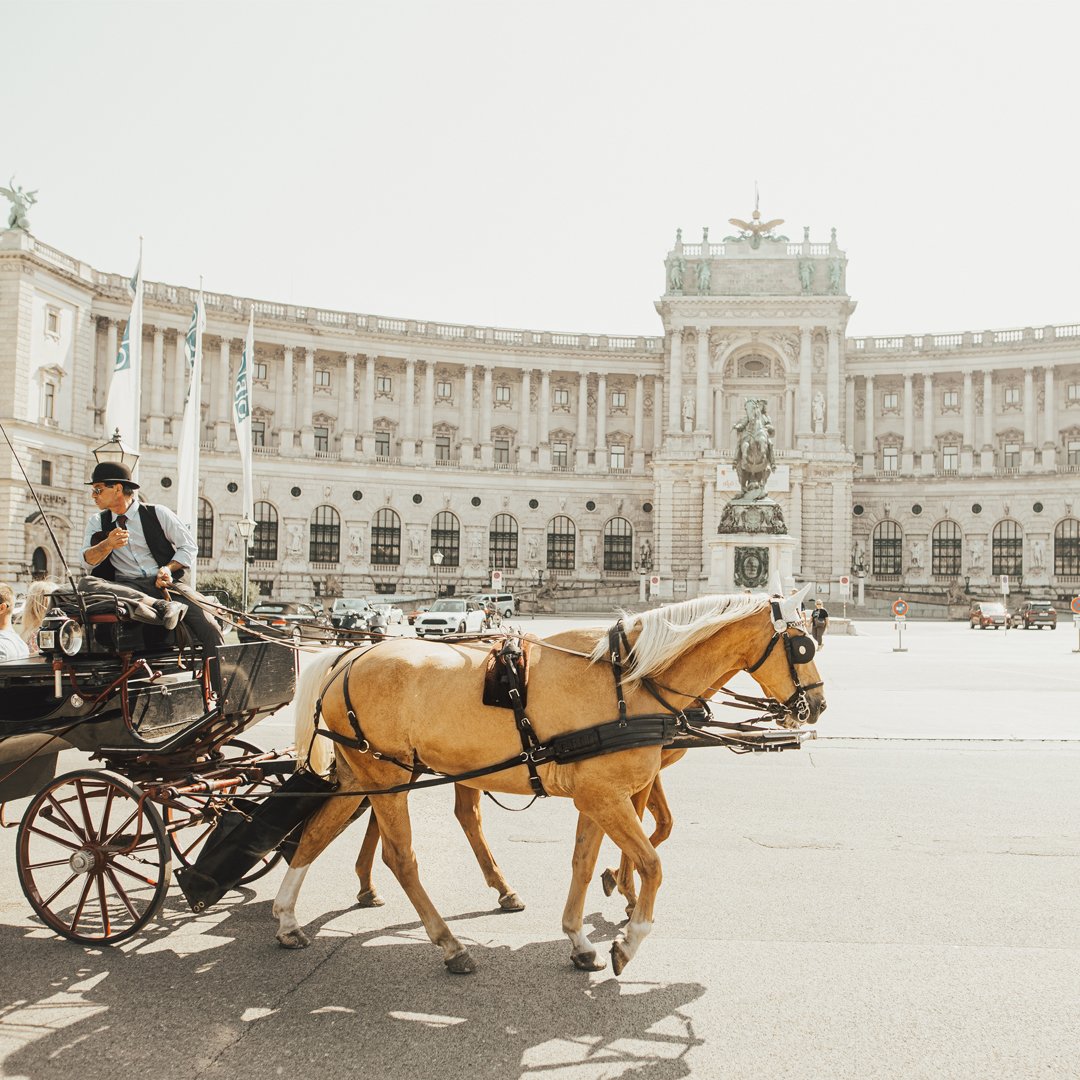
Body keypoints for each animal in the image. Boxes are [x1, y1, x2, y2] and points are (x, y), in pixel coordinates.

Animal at [274, 591, 820, 980]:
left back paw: (288, 920)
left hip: (367, 774)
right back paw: (450, 945)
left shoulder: (597, 796)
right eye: (803, 646)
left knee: (317, 833)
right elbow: (652, 861)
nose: (818, 706)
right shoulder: (608, 795)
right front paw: (629, 936)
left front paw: (581, 939)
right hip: (387, 775)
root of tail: (348, 656)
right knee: (401, 857)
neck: (629, 682)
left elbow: (584, 863)